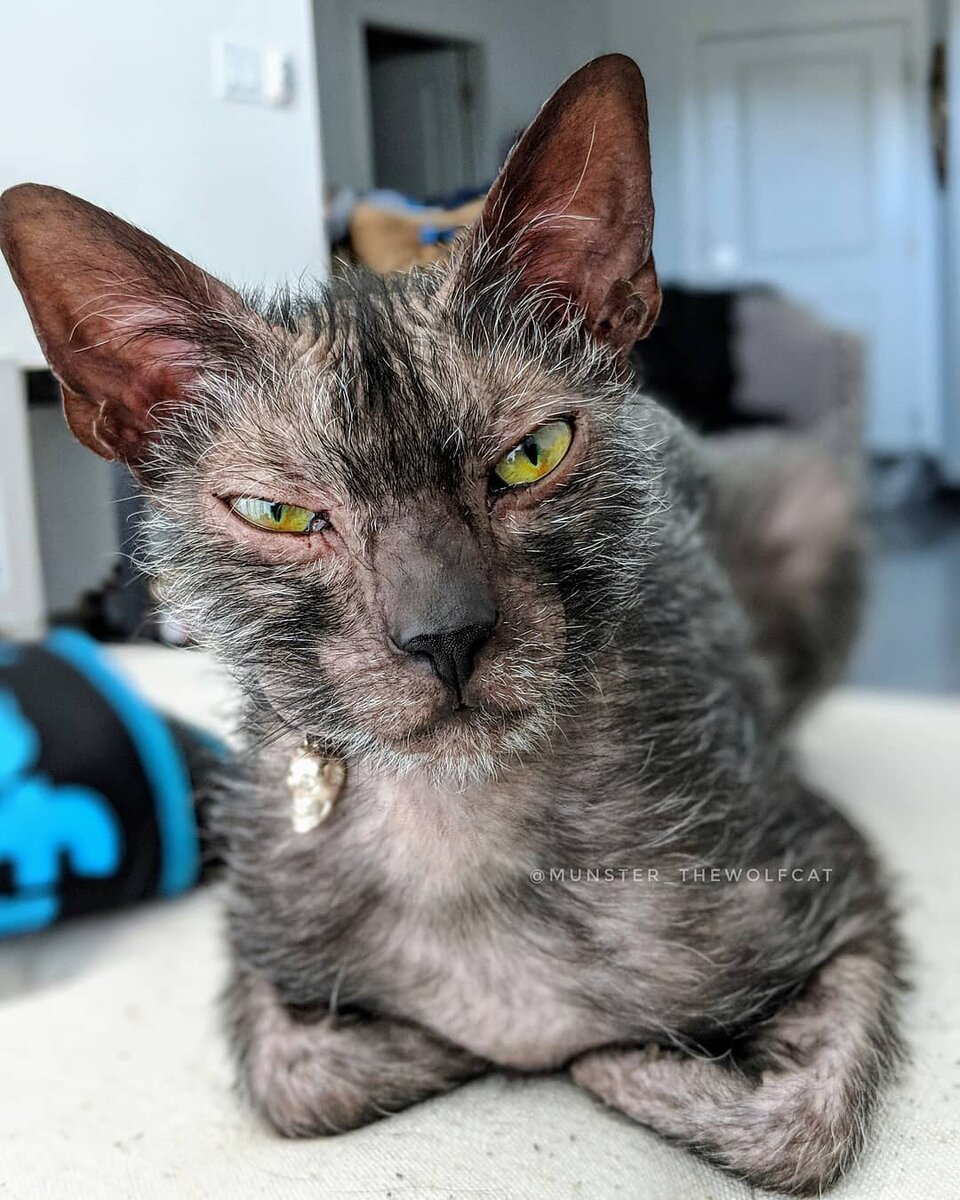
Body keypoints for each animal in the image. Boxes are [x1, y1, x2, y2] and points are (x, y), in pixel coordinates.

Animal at [0, 54, 902, 1196]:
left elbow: (794, 1128)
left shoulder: (841, 885)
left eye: (531, 455)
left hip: (810, 495)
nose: (445, 637)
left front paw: (604, 1058)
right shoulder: (258, 941)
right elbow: (294, 1078)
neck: (455, 823)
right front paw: (458, 1043)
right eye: (278, 513)